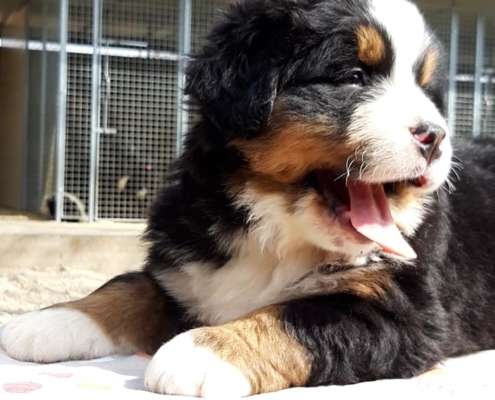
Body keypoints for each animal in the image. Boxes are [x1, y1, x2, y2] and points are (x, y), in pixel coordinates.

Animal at [0, 0, 495, 396]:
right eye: (354, 77)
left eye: (428, 93)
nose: (436, 136)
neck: (276, 229)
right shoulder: (183, 263)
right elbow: (130, 285)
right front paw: (52, 319)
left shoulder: (407, 313)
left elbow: (295, 317)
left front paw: (205, 350)